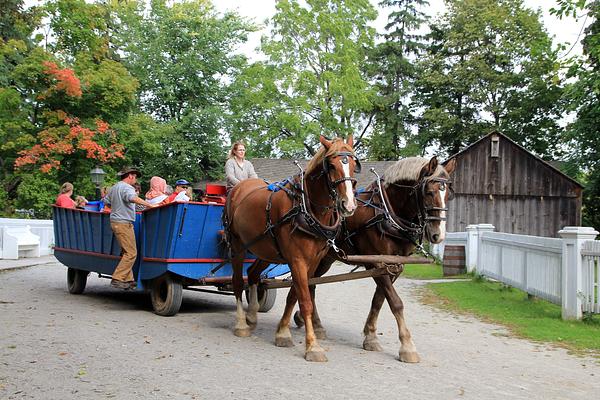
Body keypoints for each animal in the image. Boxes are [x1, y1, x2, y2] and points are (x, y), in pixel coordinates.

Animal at [224, 135, 356, 362]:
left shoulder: (311, 262)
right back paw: (241, 323)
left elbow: (294, 296)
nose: (348, 205)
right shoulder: (297, 260)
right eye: (331, 165)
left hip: (265, 249)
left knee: (252, 274)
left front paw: (283, 333)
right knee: (237, 282)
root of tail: (239, 188)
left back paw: (252, 314)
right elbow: (305, 301)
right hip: (238, 245)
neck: (305, 208)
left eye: (355, 165)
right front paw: (313, 346)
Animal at [292, 155, 458, 362]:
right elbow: (395, 302)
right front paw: (407, 346)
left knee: (311, 285)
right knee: (309, 284)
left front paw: (370, 335)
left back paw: (312, 322)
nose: (438, 235)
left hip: (325, 258)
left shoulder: (394, 265)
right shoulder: (376, 262)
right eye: (428, 192)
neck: (387, 212)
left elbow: (379, 300)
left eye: (448, 195)